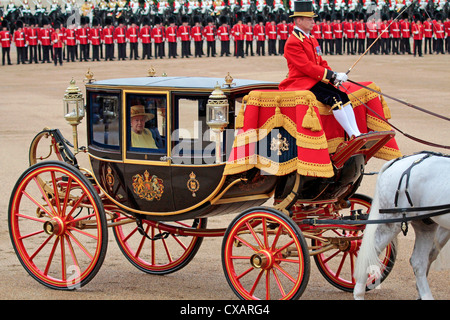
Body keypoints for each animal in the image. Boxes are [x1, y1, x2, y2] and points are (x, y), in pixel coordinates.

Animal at [356, 151, 450, 298]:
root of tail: (397, 161)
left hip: (425, 224)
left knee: (419, 262)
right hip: (392, 222)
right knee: (369, 253)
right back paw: (359, 294)